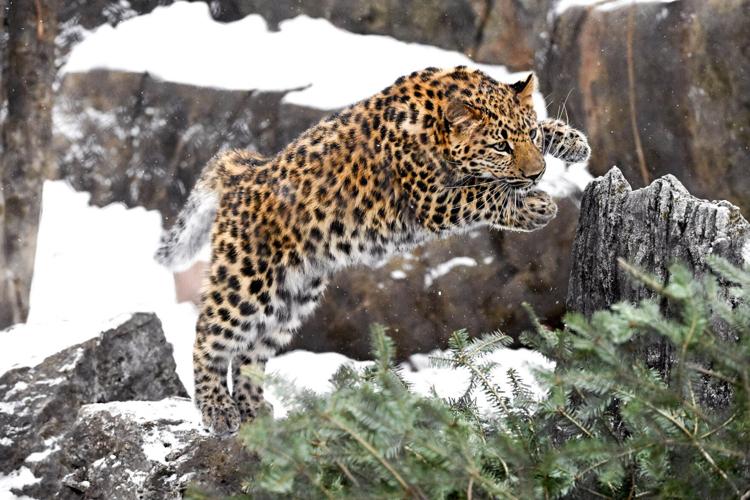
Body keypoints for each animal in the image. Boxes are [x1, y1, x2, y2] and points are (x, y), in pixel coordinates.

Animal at [155, 66, 591, 434]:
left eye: (529, 137)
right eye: (500, 146)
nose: (537, 173)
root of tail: (245, 171)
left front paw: (571, 142)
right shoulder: (432, 200)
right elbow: (484, 193)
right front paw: (534, 206)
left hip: (291, 295)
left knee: (251, 351)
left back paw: (252, 409)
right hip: (247, 281)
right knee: (209, 336)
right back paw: (217, 409)